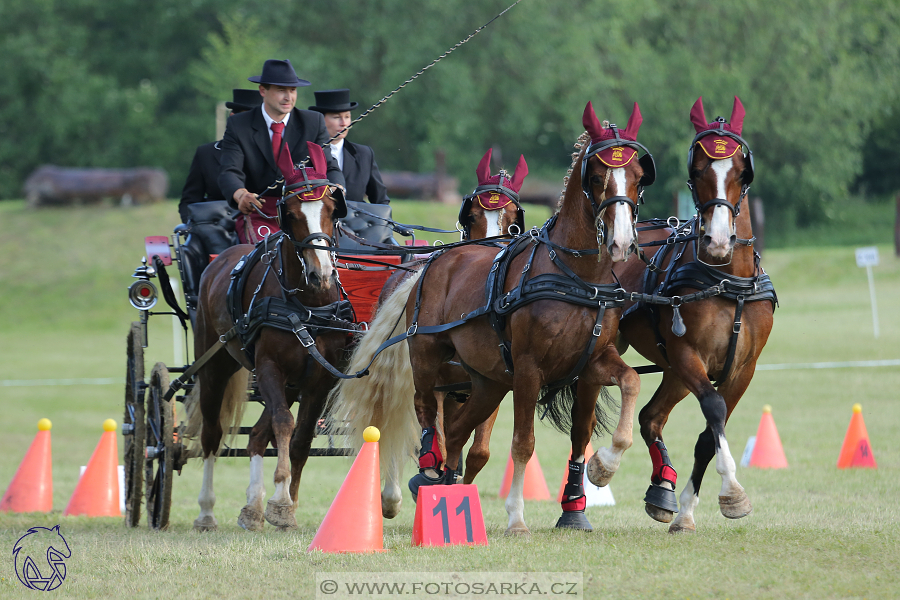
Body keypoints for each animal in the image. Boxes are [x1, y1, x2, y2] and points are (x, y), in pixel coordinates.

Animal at [188, 143, 354, 532]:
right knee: (213, 435)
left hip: (290, 382)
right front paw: (279, 499)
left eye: (331, 210)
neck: (308, 303)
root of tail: (223, 258)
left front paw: (285, 506)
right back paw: (206, 511)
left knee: (256, 436)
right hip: (215, 366)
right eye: (290, 214)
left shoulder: (318, 378)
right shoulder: (268, 366)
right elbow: (283, 424)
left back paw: (252, 508)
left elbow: (301, 438)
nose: (321, 274)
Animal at [334, 102, 656, 536]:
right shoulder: (527, 368)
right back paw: (418, 478)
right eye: (596, 176)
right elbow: (523, 443)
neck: (575, 277)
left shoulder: (593, 359)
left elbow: (631, 382)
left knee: (457, 435)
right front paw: (516, 517)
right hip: (427, 358)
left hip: (487, 380)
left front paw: (603, 466)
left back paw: (445, 491)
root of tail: (435, 260)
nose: (621, 241)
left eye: (638, 176)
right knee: (421, 414)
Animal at [616, 97, 776, 536]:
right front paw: (733, 492)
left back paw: (662, 489)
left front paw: (686, 511)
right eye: (697, 170)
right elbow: (714, 411)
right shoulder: (689, 355)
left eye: (741, 170)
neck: (726, 280)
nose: (718, 240)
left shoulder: (743, 368)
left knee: (651, 417)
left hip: (671, 369)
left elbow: (708, 434)